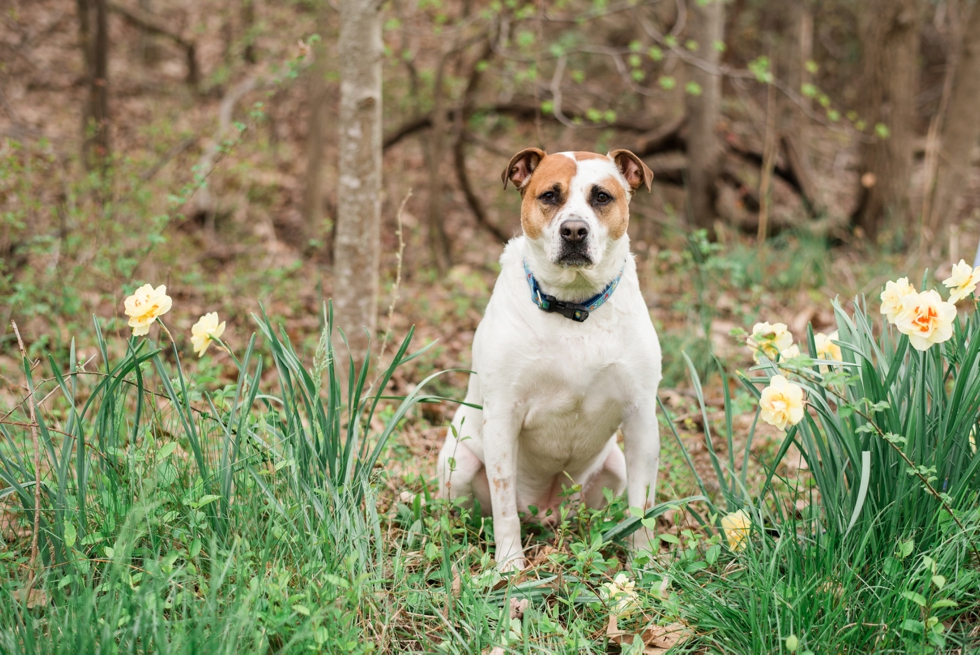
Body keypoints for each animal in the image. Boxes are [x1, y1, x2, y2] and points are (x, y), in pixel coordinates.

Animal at [438, 149, 664, 568]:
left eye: (602, 197)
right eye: (549, 196)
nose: (574, 231)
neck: (573, 307)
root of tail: (544, 511)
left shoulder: (641, 418)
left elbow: (641, 508)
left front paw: (645, 564)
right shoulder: (503, 417)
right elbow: (504, 508)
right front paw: (509, 566)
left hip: (614, 467)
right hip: (459, 465)